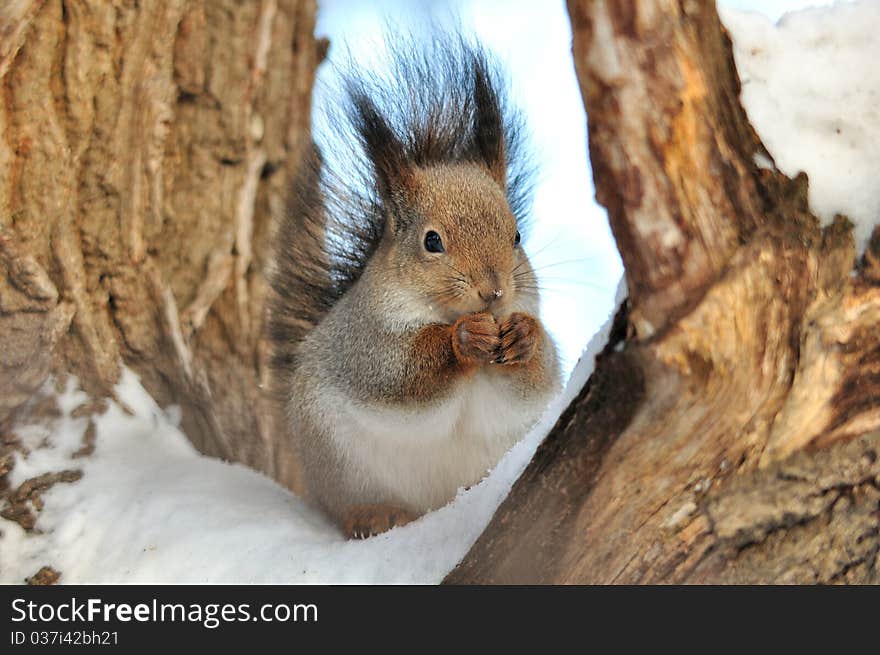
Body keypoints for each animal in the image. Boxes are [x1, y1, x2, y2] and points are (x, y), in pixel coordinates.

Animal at [264, 33, 560, 540]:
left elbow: (537, 373)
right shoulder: (365, 342)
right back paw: (374, 514)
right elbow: (401, 373)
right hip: (342, 466)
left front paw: (524, 335)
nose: (494, 292)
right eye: (432, 241)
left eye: (517, 236)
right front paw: (464, 339)